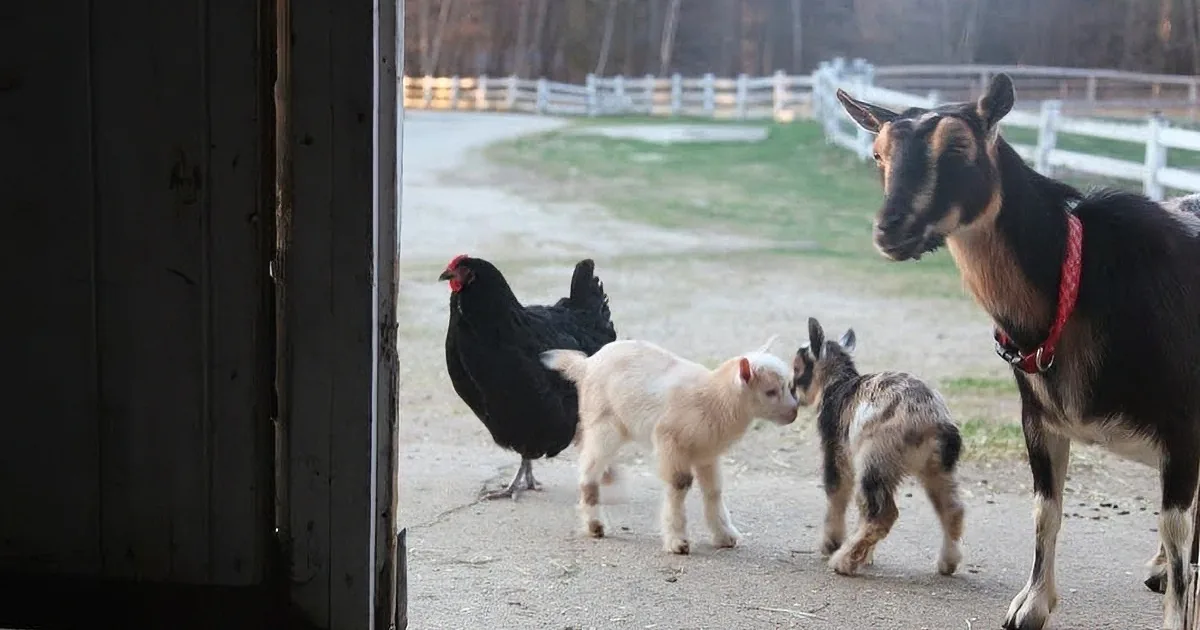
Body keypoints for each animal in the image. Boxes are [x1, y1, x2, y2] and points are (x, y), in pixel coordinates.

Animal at [541, 337, 799, 554]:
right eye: (770, 392)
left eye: (788, 386)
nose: (794, 412)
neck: (714, 398)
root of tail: (586, 364)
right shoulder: (670, 441)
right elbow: (679, 484)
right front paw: (677, 541)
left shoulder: (706, 453)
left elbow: (713, 490)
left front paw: (724, 535)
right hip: (604, 423)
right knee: (589, 466)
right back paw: (595, 525)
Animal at [792, 317, 964, 577]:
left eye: (797, 368)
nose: (791, 390)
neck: (838, 382)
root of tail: (934, 421)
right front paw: (865, 556)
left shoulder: (836, 451)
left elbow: (836, 493)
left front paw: (831, 544)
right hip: (934, 468)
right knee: (952, 509)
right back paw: (947, 563)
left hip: (875, 461)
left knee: (882, 514)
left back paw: (842, 562)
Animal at [836, 74, 1200, 630]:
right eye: (879, 153)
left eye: (959, 147)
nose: (889, 229)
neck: (1084, 279)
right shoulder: (1039, 417)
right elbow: (1045, 510)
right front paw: (1030, 606)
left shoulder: (1184, 427)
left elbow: (1176, 532)